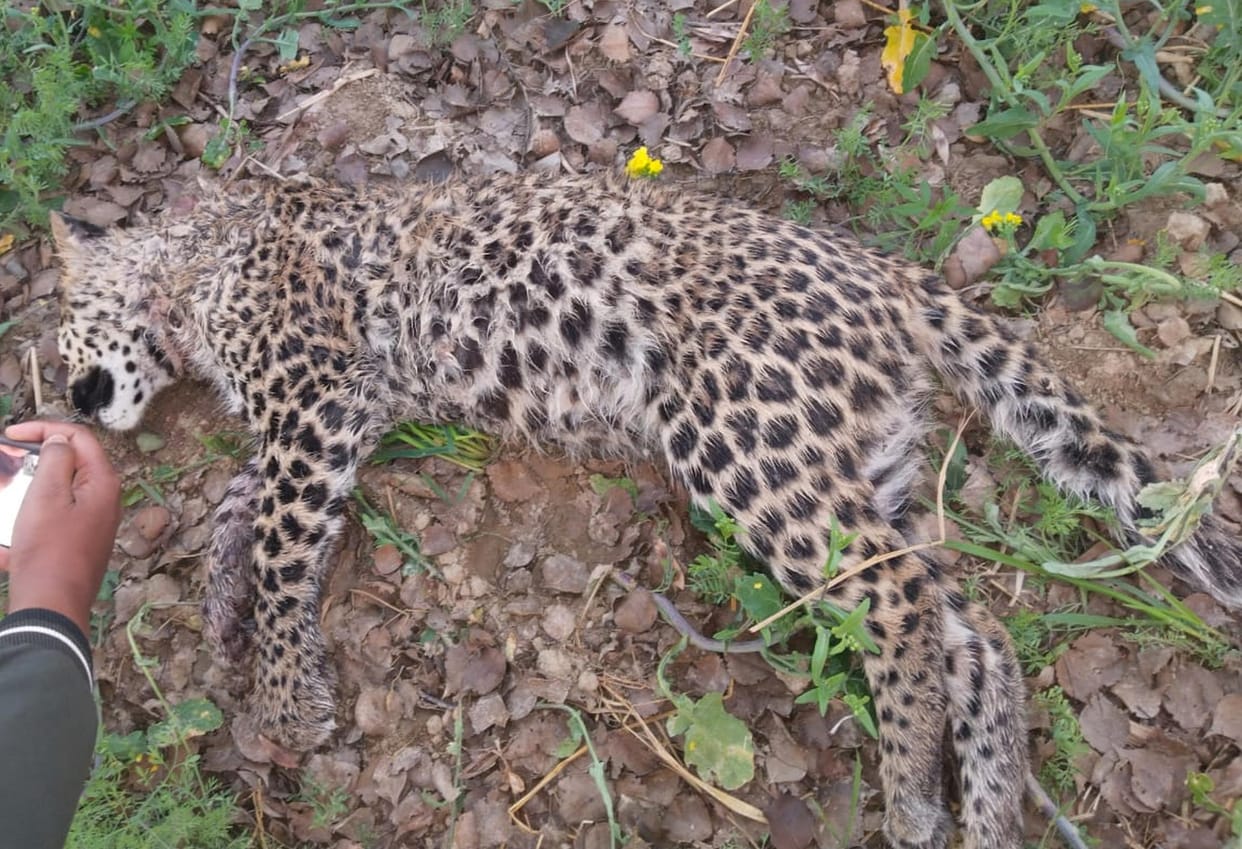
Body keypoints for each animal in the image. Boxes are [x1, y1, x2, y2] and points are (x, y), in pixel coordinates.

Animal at [51, 169, 1242, 849]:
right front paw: (220, 607)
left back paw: (912, 791)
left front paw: (283, 699)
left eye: (54, 333)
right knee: (976, 628)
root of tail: (891, 276)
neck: (190, 271)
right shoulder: (334, 415)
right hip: (864, 461)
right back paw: (985, 811)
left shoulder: (318, 400)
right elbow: (240, 503)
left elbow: (281, 539)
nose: (70, 399)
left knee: (902, 599)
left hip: (744, 435)